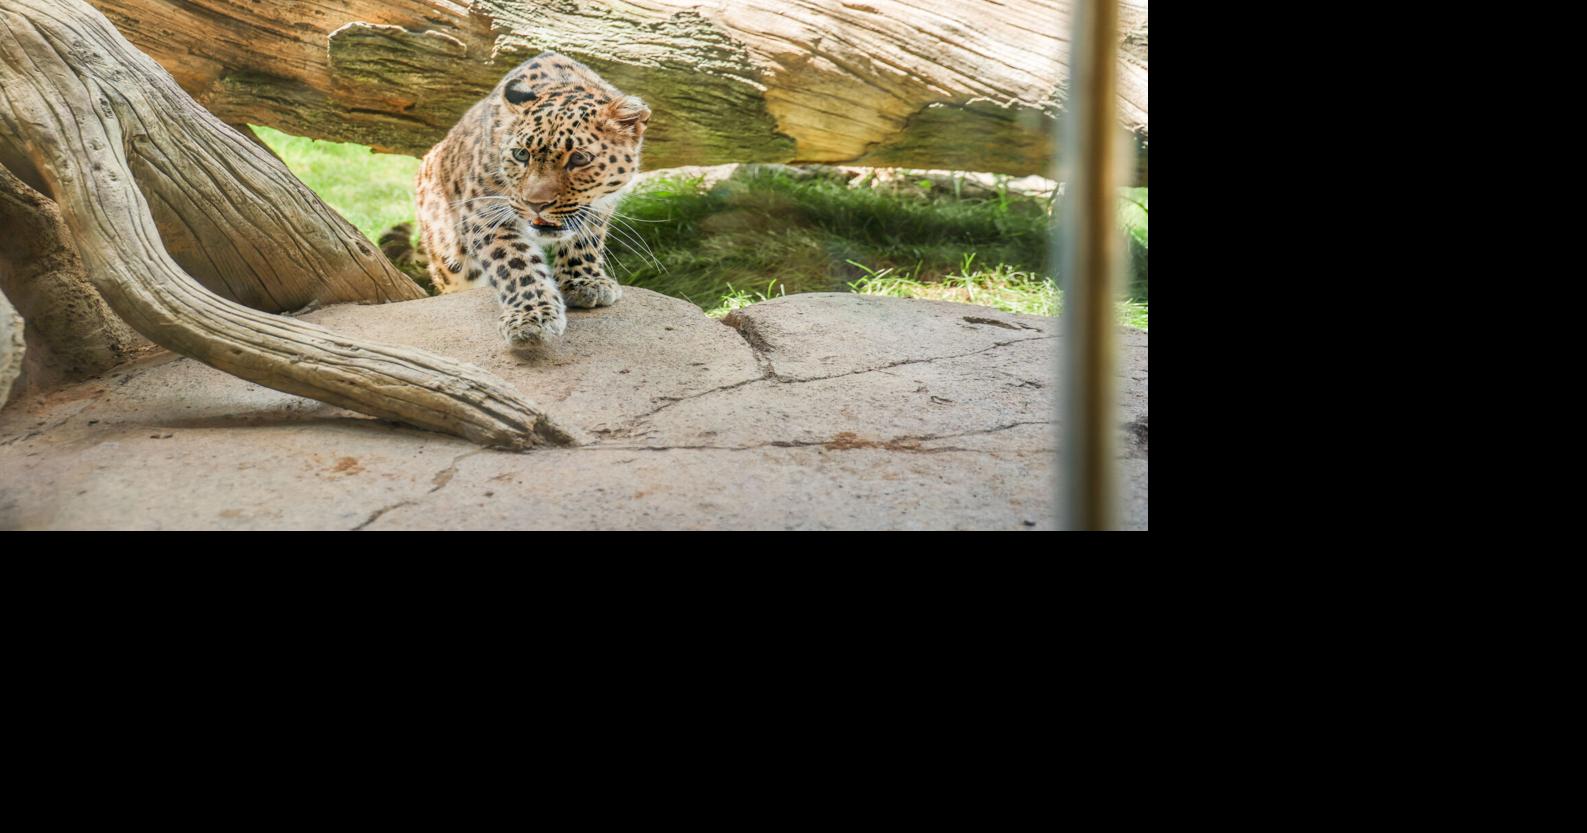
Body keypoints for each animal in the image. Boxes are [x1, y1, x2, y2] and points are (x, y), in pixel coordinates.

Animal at [414, 53, 651, 347]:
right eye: (521, 154)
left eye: (579, 158)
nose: (535, 204)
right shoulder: (483, 212)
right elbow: (515, 264)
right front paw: (531, 315)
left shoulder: (600, 205)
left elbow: (586, 239)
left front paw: (585, 282)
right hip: (449, 256)